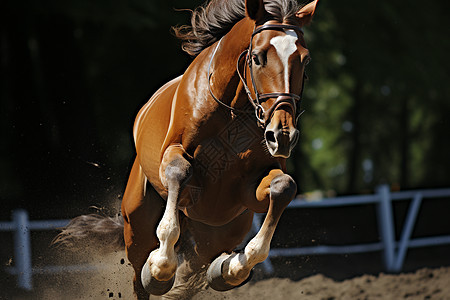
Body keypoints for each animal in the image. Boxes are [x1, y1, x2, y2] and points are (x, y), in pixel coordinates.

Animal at [54, 0, 318, 298]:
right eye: (258, 57)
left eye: (305, 59)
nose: (282, 135)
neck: (233, 111)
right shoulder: (177, 157)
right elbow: (179, 174)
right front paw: (160, 266)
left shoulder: (247, 190)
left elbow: (283, 187)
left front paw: (236, 267)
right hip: (138, 227)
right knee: (140, 274)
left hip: (215, 235)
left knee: (197, 272)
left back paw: (223, 269)